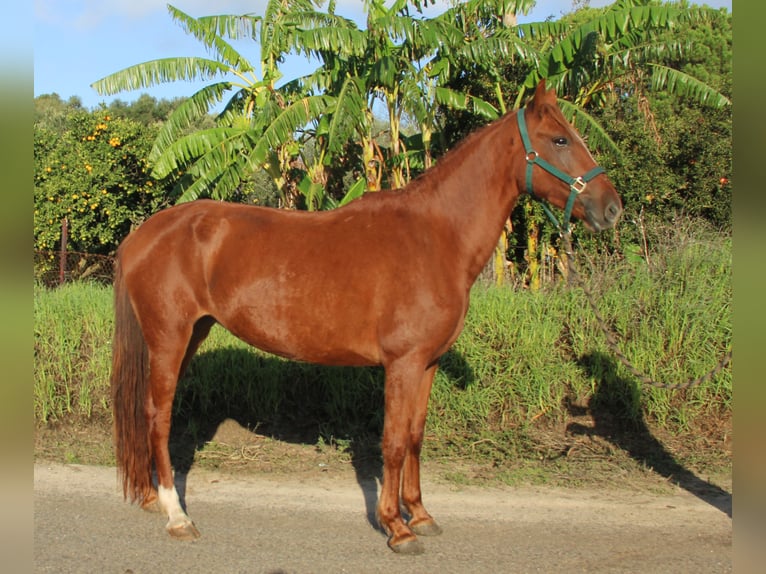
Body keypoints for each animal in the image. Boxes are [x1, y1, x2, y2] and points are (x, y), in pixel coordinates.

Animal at [109, 80, 624, 552]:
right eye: (560, 140)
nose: (612, 208)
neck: (436, 237)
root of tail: (142, 235)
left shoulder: (427, 363)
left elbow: (414, 436)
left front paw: (421, 515)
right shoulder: (402, 364)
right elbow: (392, 442)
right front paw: (396, 528)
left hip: (193, 333)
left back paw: (153, 498)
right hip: (169, 338)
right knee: (158, 416)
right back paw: (177, 515)